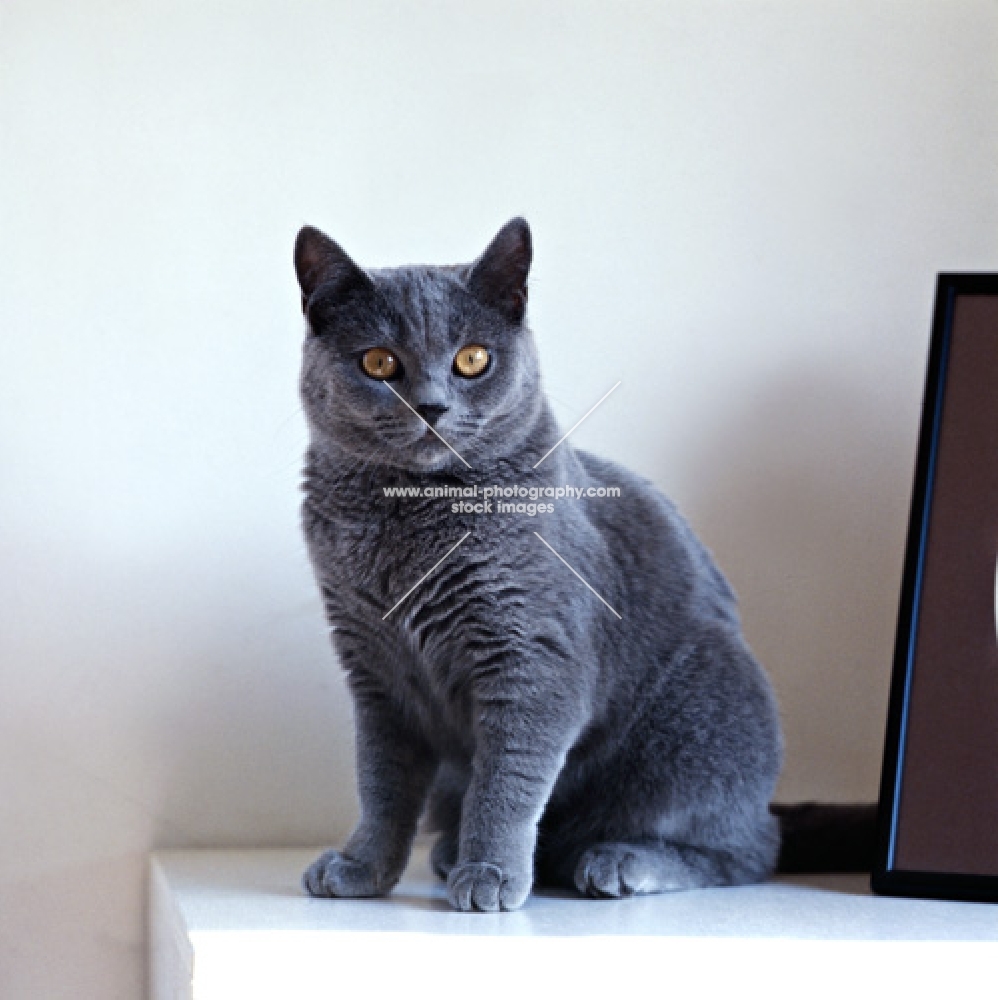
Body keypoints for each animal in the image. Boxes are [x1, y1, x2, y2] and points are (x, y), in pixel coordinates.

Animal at [292, 219, 876, 916]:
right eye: (379, 363)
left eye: (472, 359)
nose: (431, 406)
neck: (409, 521)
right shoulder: (375, 673)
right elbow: (381, 784)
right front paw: (364, 868)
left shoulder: (535, 660)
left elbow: (508, 779)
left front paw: (490, 874)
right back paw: (462, 853)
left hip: (703, 713)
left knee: (750, 848)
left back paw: (616, 861)